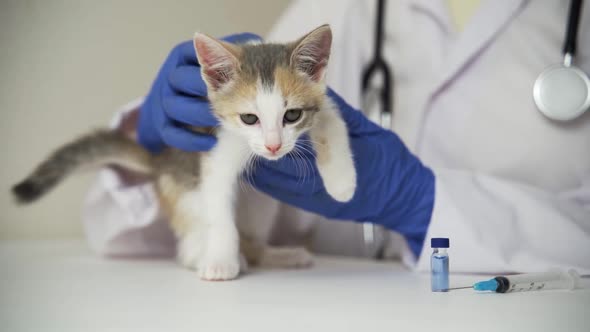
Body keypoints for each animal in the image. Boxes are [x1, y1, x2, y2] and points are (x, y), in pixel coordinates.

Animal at [12, 25, 356, 280]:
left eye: (292, 116)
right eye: (249, 118)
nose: (273, 146)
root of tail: (159, 160)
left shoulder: (323, 100)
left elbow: (334, 118)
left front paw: (342, 185)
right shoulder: (217, 148)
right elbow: (218, 205)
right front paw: (220, 262)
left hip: (262, 203)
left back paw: (276, 254)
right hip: (183, 189)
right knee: (194, 227)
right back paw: (205, 255)